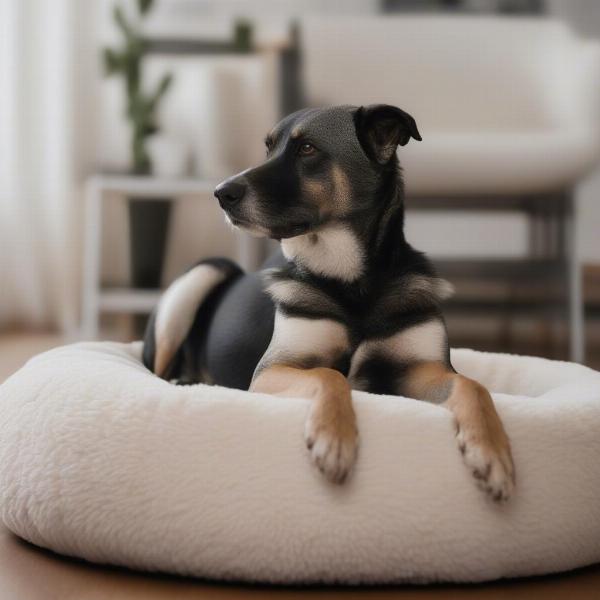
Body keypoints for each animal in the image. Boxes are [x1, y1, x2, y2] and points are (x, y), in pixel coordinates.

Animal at [142, 104, 516, 502]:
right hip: (204, 273)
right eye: (268, 149)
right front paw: (334, 440)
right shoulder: (272, 371)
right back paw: (183, 382)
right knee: (153, 371)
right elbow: (329, 375)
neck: (351, 281)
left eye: (307, 149)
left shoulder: (419, 370)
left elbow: (473, 386)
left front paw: (492, 453)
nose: (220, 193)